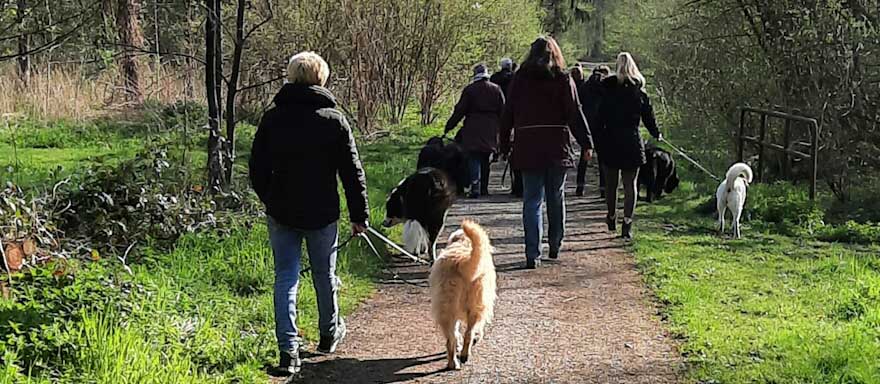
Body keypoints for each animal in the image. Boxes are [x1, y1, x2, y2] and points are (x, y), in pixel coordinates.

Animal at [432, 220, 498, 370]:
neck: (464, 242)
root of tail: (462, 261)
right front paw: (477, 338)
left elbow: (456, 333)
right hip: (476, 307)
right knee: (469, 333)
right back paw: (464, 355)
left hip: (447, 309)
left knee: (450, 339)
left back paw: (453, 362)